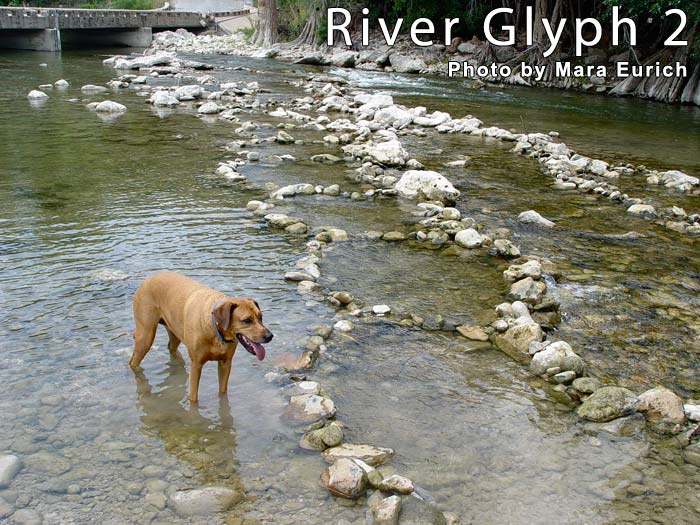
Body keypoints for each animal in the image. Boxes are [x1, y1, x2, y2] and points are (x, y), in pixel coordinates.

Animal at [129, 270, 274, 402]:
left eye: (261, 317)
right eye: (247, 320)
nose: (270, 336)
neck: (217, 333)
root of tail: (147, 279)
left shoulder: (226, 363)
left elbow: (223, 392)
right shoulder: (196, 365)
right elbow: (193, 398)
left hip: (174, 331)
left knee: (172, 348)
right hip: (145, 335)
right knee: (133, 362)